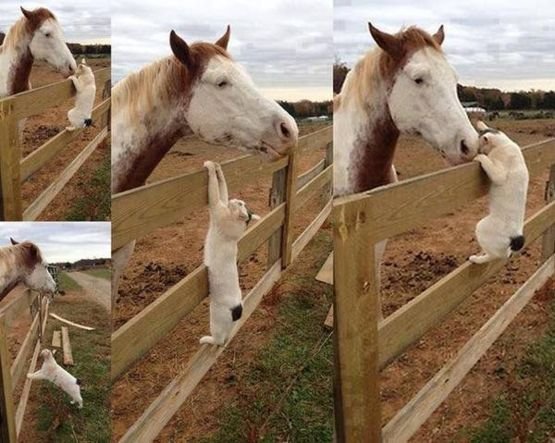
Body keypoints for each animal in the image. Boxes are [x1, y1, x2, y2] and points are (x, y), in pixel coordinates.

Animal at [200, 160, 260, 346]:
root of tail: (238, 309)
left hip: (214, 317)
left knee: (219, 340)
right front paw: (218, 168)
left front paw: (210, 166)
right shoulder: (222, 203)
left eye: (240, 204)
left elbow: (214, 189)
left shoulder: (216, 206)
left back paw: (206, 340)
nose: (236, 200)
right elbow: (222, 188)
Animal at [472, 121, 532, 264]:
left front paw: (480, 157)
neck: (504, 143)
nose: (478, 151)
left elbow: (487, 162)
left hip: (481, 227)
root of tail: (516, 236)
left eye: (479, 147)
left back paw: (477, 259)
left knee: (496, 256)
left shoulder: (499, 174)